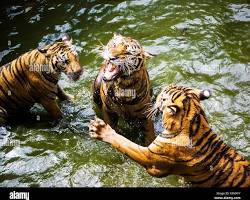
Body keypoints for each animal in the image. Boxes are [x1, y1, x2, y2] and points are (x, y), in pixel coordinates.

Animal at [90, 85, 250, 188]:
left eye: (163, 97)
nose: (155, 96)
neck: (194, 120)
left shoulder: (150, 158)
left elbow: (124, 143)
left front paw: (100, 130)